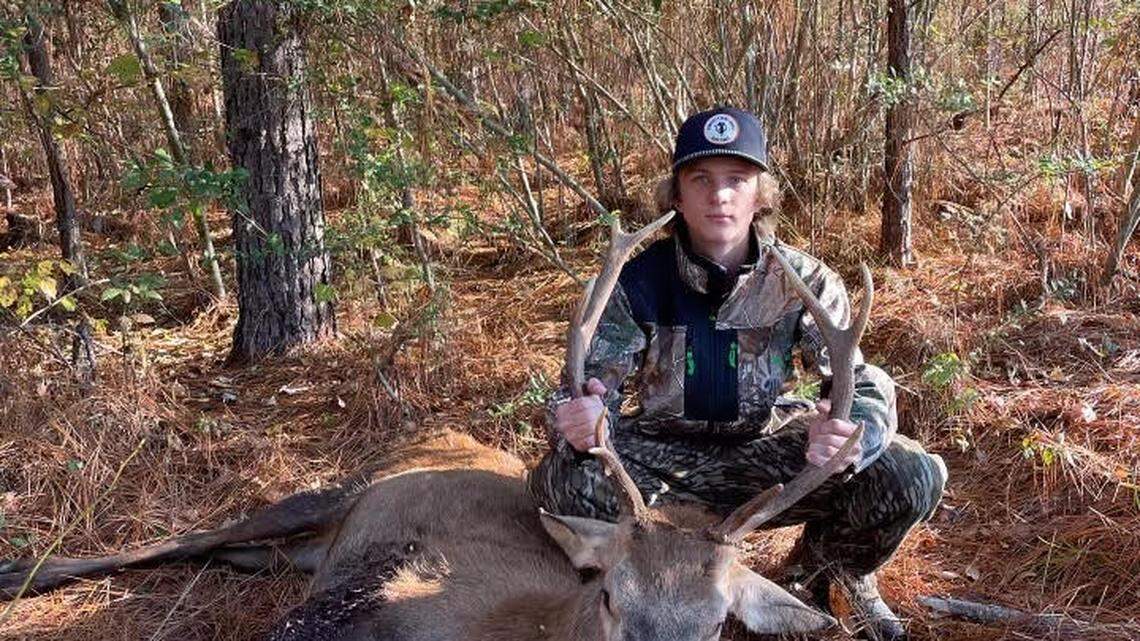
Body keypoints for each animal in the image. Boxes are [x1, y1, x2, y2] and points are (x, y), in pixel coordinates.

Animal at [1, 211, 873, 641]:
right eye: (608, 595)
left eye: (720, 622)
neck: (519, 631)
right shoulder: (360, 610)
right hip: (330, 490)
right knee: (187, 538)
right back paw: (20, 570)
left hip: (304, 549)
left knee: (242, 553)